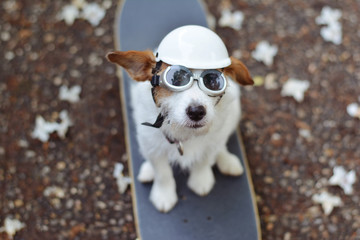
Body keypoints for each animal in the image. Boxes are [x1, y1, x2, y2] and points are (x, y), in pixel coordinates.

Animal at [107, 25, 253, 213]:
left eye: (213, 81)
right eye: (175, 79)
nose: (196, 112)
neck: (183, 132)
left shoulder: (211, 143)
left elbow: (204, 160)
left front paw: (200, 180)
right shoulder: (152, 147)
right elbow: (162, 173)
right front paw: (163, 195)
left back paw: (226, 160)